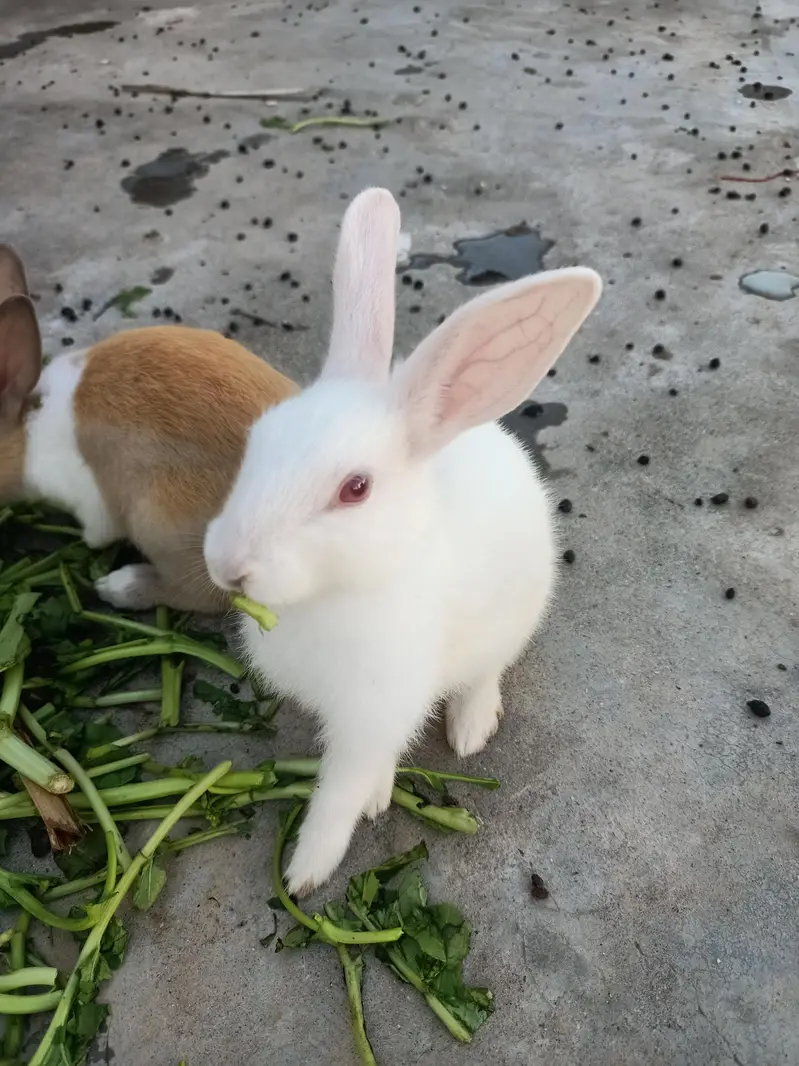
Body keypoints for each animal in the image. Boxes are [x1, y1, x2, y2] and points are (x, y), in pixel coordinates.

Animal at [0, 243, 298, 613]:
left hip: (160, 523)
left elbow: (98, 531)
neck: (26, 428)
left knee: (203, 596)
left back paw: (120, 586)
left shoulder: (90, 501)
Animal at [203, 188, 602, 895]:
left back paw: (472, 729)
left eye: (355, 488)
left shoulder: (373, 713)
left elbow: (338, 792)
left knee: (484, 674)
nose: (228, 565)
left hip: (512, 620)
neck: (341, 591)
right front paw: (376, 798)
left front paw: (306, 874)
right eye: (259, 440)